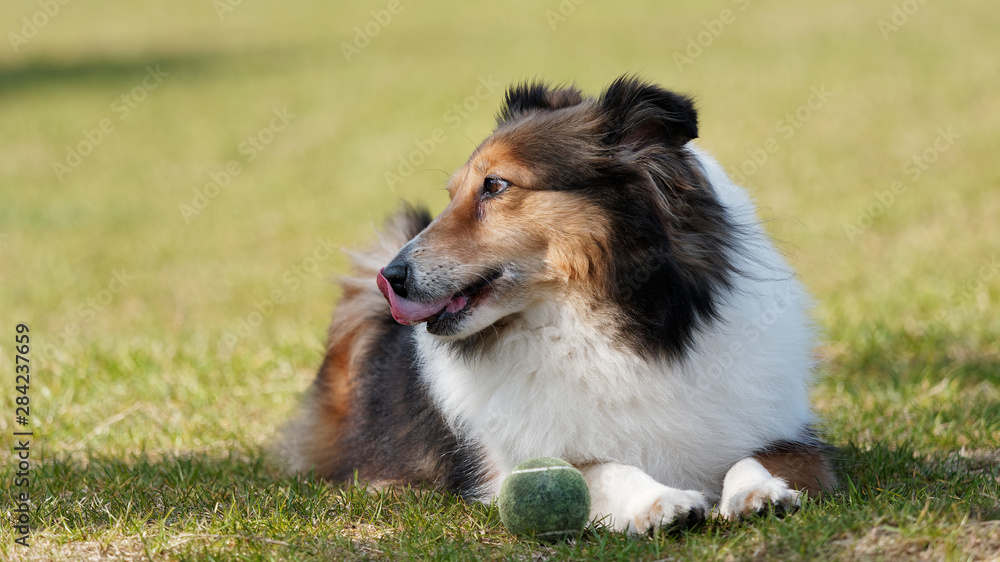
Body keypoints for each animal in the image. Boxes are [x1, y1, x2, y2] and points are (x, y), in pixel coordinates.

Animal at [286, 76, 840, 532]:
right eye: (451, 193)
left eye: (495, 185)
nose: (391, 278)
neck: (598, 328)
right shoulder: (508, 467)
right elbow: (599, 468)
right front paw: (659, 501)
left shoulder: (796, 438)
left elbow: (759, 456)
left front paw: (757, 491)